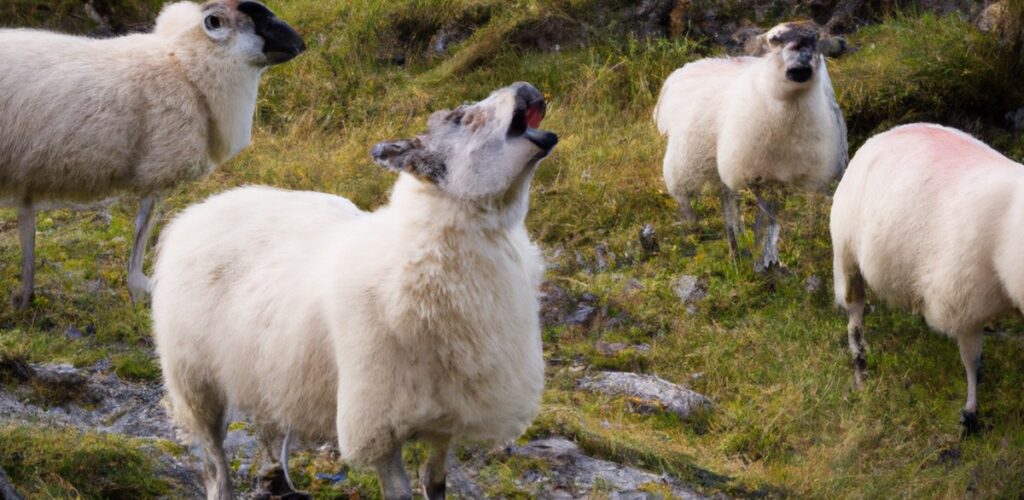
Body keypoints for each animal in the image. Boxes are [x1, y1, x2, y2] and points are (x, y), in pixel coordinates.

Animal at [0, 0, 305, 307]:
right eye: (252, 21)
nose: (298, 44)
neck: (185, 67)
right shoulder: (157, 169)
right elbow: (143, 227)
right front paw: (140, 288)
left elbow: (27, 225)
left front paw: (25, 296)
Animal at [151, 82, 558, 500]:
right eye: (462, 118)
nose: (524, 86)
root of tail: (201, 209)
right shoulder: (377, 421)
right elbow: (400, 492)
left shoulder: (450, 416)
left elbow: (435, 481)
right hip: (194, 379)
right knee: (214, 461)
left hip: (260, 365)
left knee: (269, 424)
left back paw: (275, 480)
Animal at [654, 21, 847, 271]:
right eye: (774, 39)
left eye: (815, 39)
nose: (800, 69)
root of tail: (686, 70)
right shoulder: (750, 173)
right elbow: (767, 213)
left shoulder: (801, 176)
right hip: (686, 165)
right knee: (690, 198)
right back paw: (703, 234)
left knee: (728, 200)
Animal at [831, 123, 1024, 434]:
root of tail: (881, 137)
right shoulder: (962, 304)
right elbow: (971, 361)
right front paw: (970, 413)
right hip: (847, 256)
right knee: (855, 316)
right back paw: (860, 365)